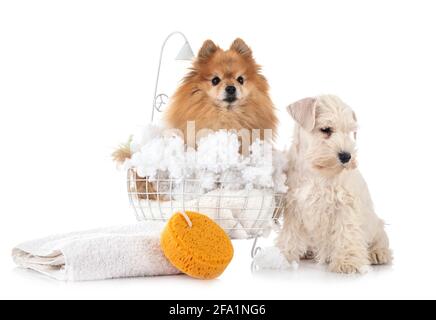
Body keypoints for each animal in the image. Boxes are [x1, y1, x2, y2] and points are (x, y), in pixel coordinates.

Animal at [278, 94, 394, 272]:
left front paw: (347, 262)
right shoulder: (294, 206)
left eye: (349, 132)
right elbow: (290, 234)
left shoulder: (344, 205)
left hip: (375, 224)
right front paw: (283, 256)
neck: (315, 172)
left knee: (381, 239)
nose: (347, 156)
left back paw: (377, 253)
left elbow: (346, 232)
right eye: (326, 129)